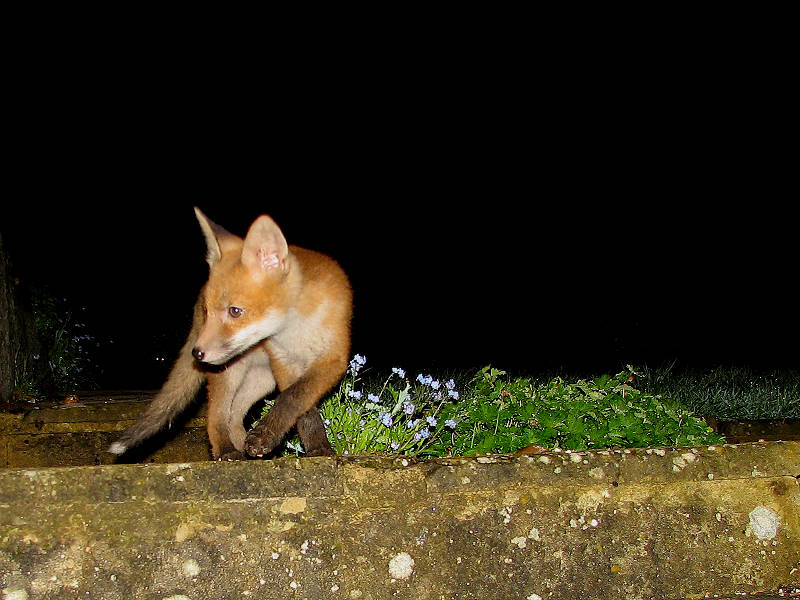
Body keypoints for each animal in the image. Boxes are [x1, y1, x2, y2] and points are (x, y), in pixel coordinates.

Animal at [109, 207, 352, 461]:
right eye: (209, 312)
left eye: (235, 311)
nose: (197, 353)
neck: (295, 330)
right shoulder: (284, 362)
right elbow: (301, 407)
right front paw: (308, 446)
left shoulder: (333, 359)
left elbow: (295, 398)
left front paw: (313, 448)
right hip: (230, 372)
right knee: (217, 415)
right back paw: (226, 450)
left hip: (262, 378)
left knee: (234, 414)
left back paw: (243, 449)